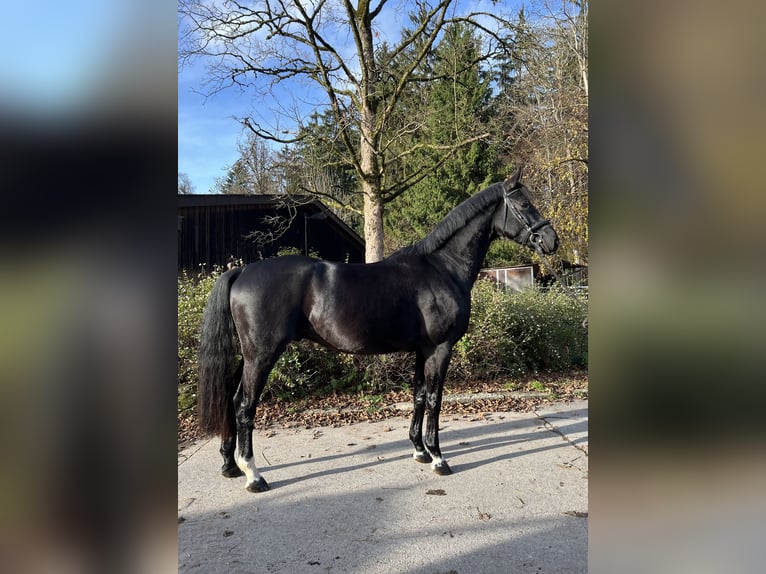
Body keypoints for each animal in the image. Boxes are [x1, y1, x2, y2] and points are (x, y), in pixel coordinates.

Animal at [197, 166, 559, 492]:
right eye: (524, 204)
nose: (551, 240)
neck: (442, 268)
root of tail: (242, 271)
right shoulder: (440, 349)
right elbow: (435, 399)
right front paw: (439, 458)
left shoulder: (422, 350)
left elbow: (418, 395)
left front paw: (419, 451)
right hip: (262, 355)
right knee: (245, 405)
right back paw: (253, 475)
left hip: (248, 356)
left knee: (230, 398)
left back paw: (230, 465)